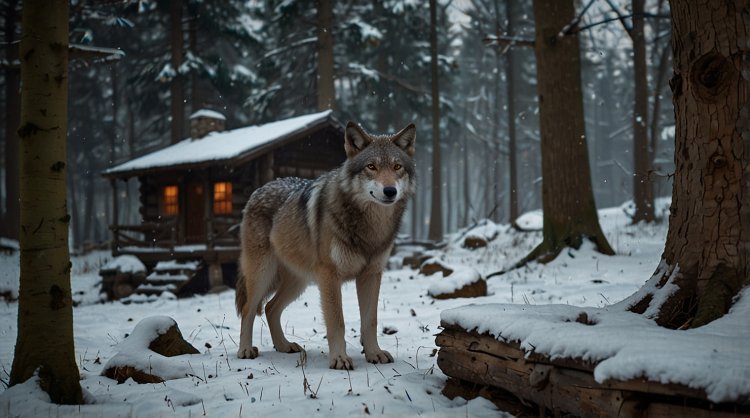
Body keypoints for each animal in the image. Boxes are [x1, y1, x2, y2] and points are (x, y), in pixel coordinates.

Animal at [236, 121, 418, 370]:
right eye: (371, 166)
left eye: (397, 166)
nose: (390, 191)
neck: (370, 226)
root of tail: (259, 189)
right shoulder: (330, 276)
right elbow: (337, 322)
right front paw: (339, 359)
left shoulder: (371, 275)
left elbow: (370, 321)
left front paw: (374, 354)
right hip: (263, 273)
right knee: (249, 309)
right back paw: (245, 350)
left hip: (299, 282)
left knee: (271, 308)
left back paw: (284, 346)